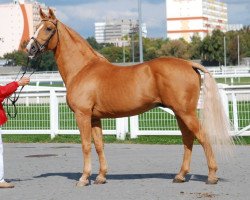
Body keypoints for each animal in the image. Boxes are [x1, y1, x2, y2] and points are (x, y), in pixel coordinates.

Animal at [26, 8, 233, 187]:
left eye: (48, 28)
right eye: (36, 27)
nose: (30, 48)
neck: (83, 69)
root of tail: (189, 64)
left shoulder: (82, 115)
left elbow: (85, 145)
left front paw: (84, 178)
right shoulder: (94, 118)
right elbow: (99, 145)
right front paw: (101, 177)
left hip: (186, 113)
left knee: (203, 137)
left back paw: (212, 176)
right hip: (180, 113)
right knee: (188, 139)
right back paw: (180, 175)